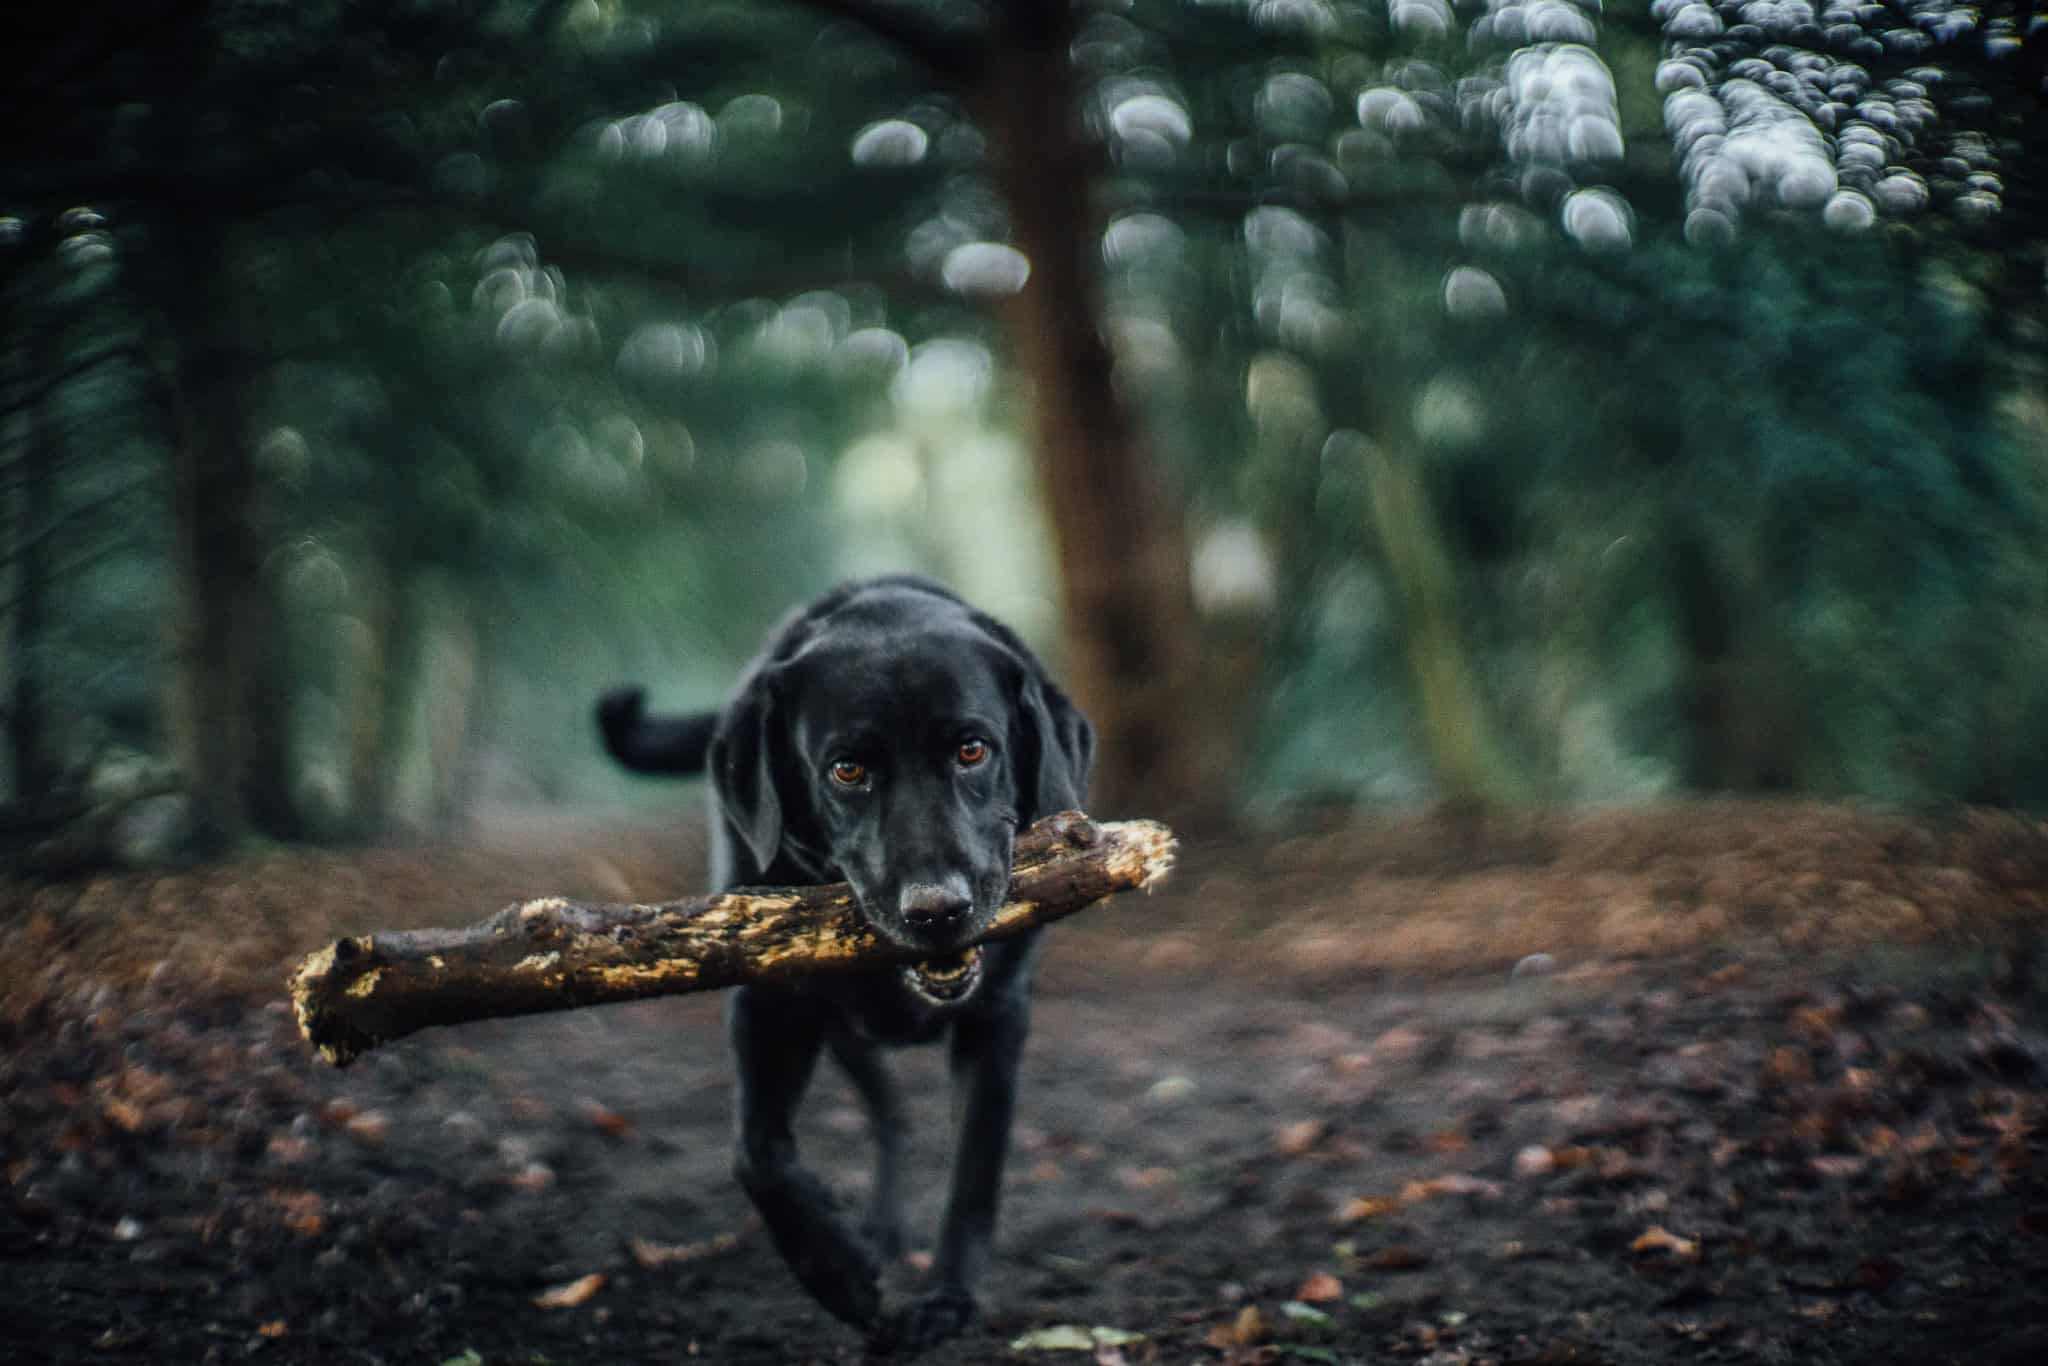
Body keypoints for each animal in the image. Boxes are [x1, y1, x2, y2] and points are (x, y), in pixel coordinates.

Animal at [598, 573, 1097, 1343]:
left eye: (973, 750)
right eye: (848, 769)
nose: (937, 910)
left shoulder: (999, 1017)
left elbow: (975, 1165)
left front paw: (948, 1297)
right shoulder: (769, 1003)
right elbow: (757, 1154)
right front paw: (840, 1276)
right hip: (836, 1029)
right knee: (888, 1113)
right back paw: (876, 1234)